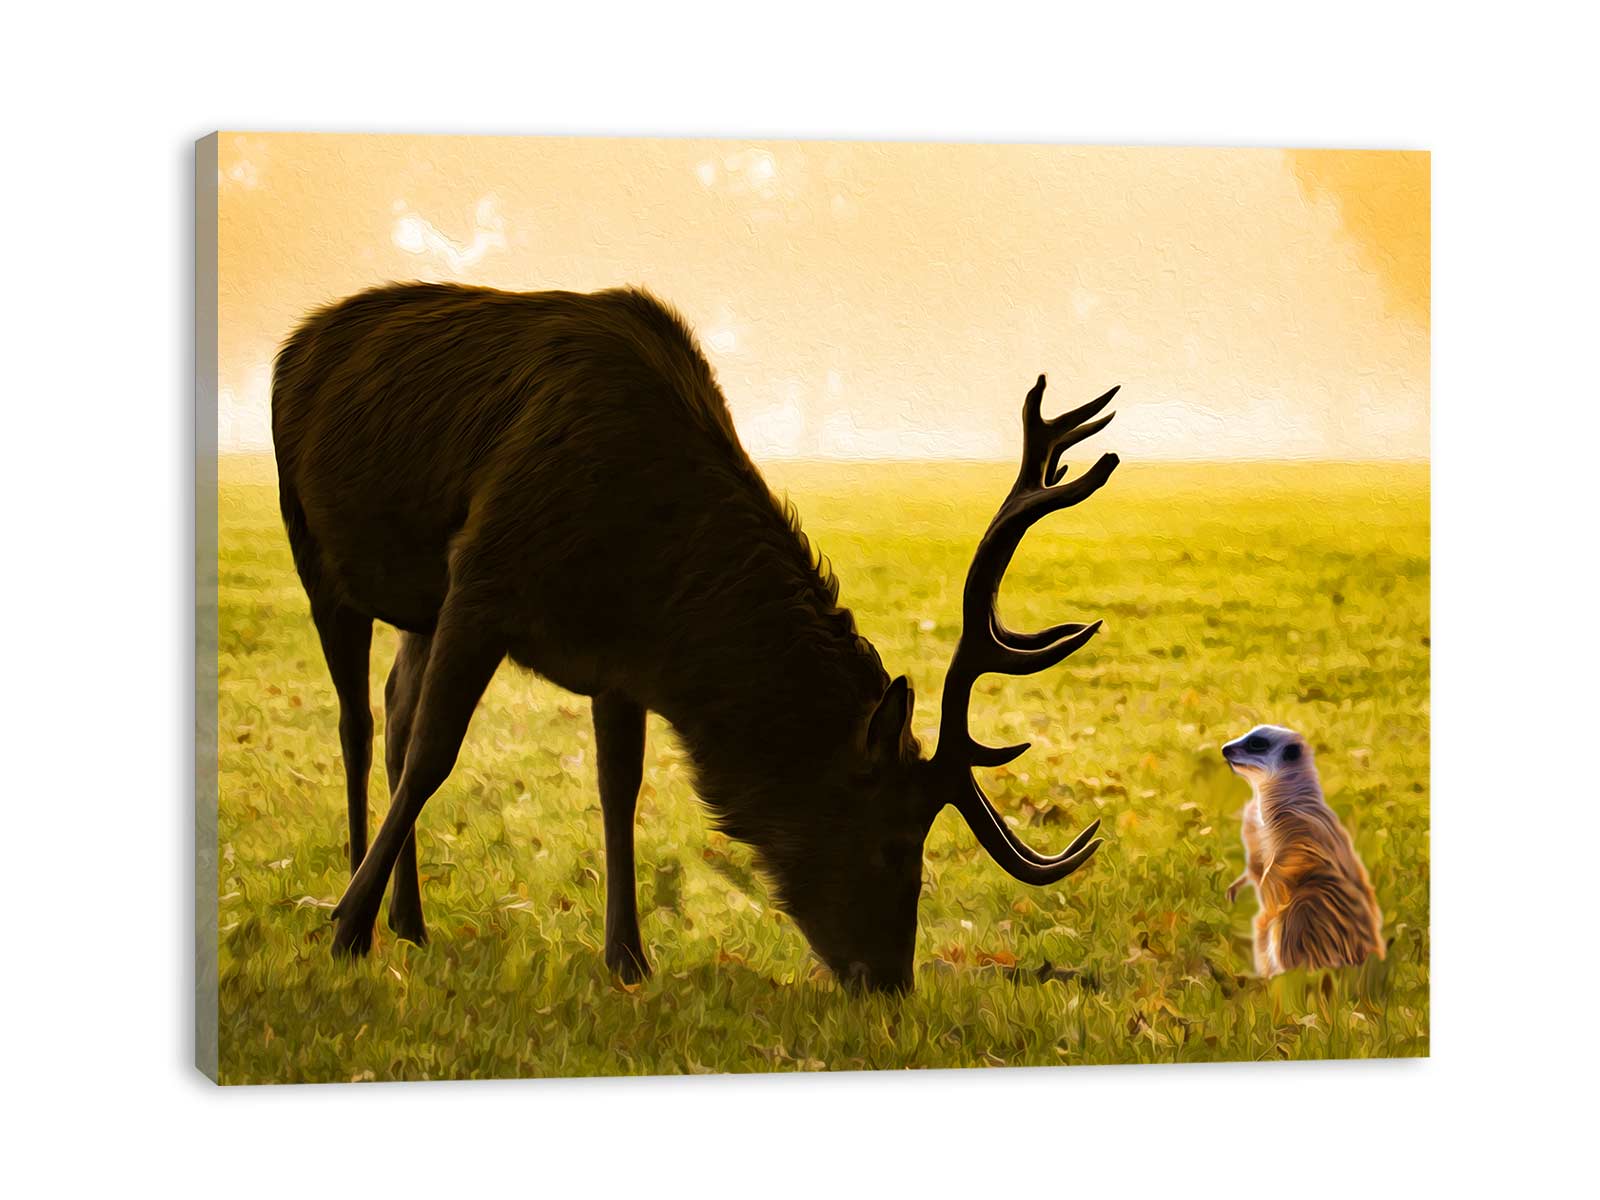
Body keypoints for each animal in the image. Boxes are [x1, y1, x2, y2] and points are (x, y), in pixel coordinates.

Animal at [271, 282, 1121, 994]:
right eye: (894, 841)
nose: (890, 983)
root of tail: (299, 337)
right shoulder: (483, 576)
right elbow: (434, 756)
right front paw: (346, 931)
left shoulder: (616, 659)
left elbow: (619, 788)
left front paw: (628, 959)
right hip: (315, 550)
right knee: (360, 723)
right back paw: (353, 900)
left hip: (417, 607)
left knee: (394, 706)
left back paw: (410, 921)